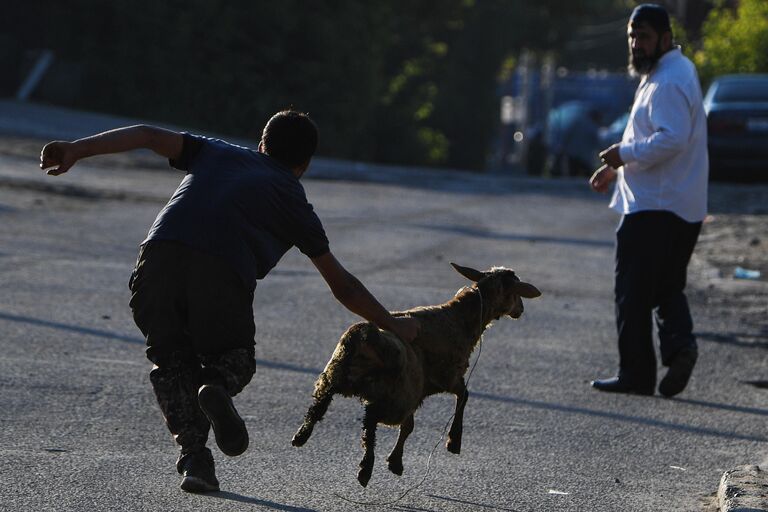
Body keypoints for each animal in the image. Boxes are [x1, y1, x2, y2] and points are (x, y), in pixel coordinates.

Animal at [292, 264, 544, 488]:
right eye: (516, 292)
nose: (521, 309)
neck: (462, 318)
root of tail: (364, 336)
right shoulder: (446, 378)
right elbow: (463, 396)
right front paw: (453, 441)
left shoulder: (418, 392)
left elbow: (409, 426)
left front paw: (395, 462)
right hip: (393, 397)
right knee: (370, 420)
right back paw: (365, 469)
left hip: (335, 375)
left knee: (319, 406)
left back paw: (301, 436)